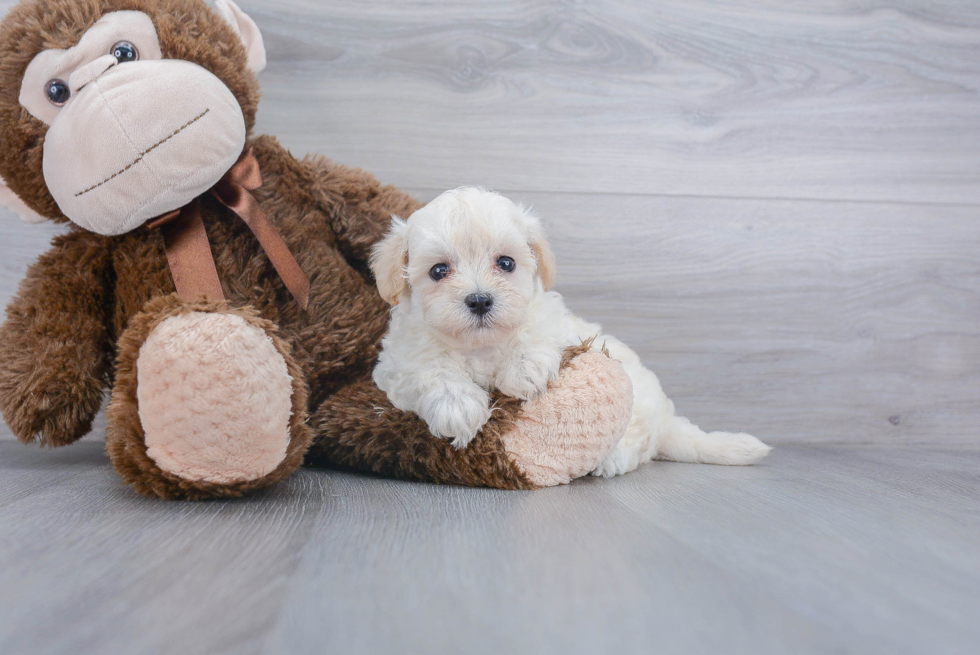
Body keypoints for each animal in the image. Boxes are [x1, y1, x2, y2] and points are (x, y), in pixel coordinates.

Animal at [370, 187, 772, 474]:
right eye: (439, 271)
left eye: (506, 263)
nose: (481, 300)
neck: (481, 346)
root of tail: (668, 420)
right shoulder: (400, 360)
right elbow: (430, 370)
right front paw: (457, 406)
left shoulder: (550, 317)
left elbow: (536, 330)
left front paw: (523, 370)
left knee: (639, 444)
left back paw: (611, 459)